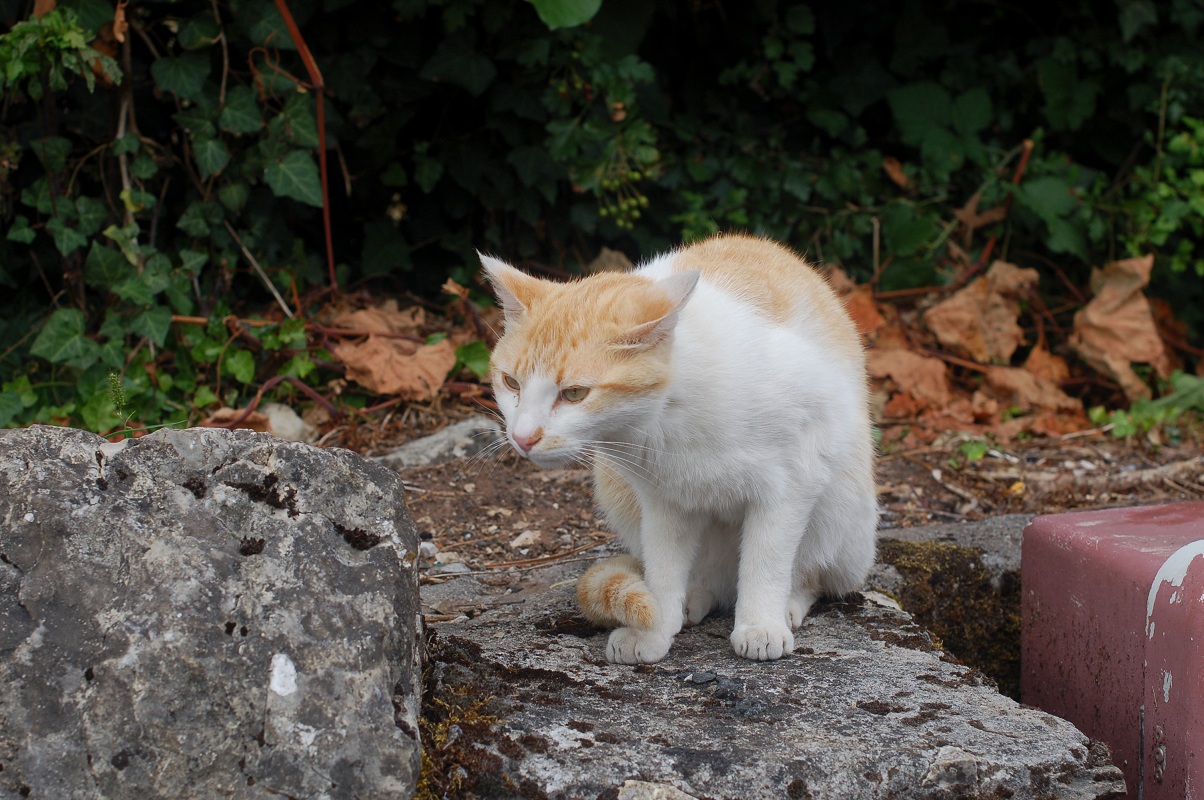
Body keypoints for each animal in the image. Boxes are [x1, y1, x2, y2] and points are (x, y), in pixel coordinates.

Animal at [479, 232, 876, 660]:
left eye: (574, 393)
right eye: (511, 383)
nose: (522, 437)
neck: (667, 415)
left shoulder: (792, 484)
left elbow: (766, 563)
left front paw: (760, 624)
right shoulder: (665, 501)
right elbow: (663, 569)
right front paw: (654, 629)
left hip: (843, 507)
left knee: (813, 575)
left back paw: (786, 604)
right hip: (617, 489)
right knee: (707, 579)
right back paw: (694, 599)